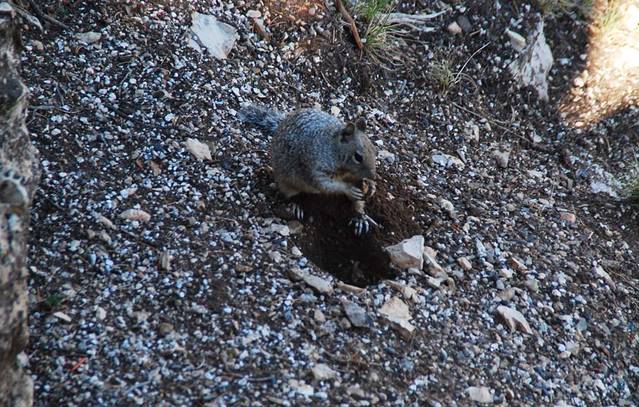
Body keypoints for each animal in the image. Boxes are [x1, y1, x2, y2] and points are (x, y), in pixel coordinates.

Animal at [240, 105, 380, 236]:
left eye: (374, 150)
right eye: (358, 157)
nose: (373, 176)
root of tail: (281, 124)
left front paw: (371, 186)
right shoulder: (315, 166)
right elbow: (325, 184)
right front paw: (349, 189)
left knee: (358, 206)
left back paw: (360, 217)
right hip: (285, 181)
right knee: (290, 193)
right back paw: (296, 205)